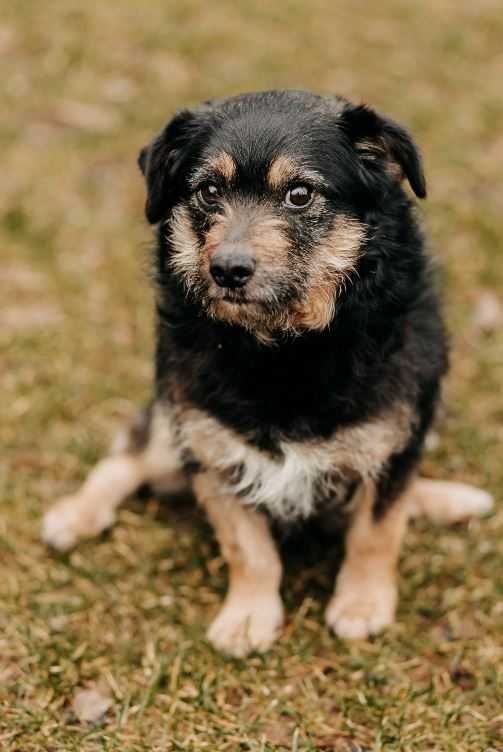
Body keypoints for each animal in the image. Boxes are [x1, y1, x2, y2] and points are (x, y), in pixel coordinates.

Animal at [41, 91, 494, 656]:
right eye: (209, 190)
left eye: (300, 194)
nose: (228, 270)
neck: (283, 350)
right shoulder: (211, 449)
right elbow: (248, 548)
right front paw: (247, 618)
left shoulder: (395, 443)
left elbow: (376, 532)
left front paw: (362, 605)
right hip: (172, 423)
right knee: (127, 456)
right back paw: (76, 515)